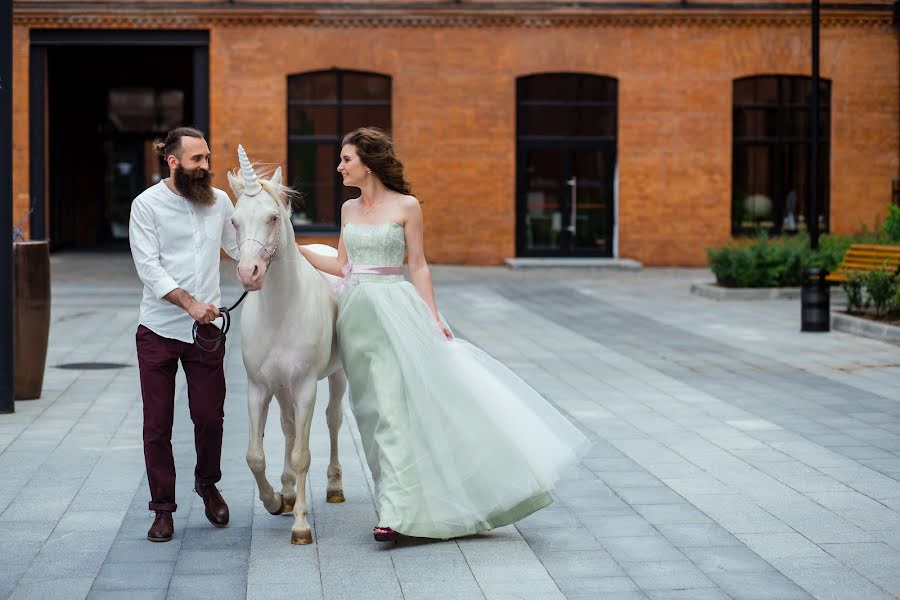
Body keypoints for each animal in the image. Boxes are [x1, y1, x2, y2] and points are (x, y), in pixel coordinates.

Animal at [227, 144, 346, 544]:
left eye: (273, 217)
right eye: (234, 221)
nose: (248, 273)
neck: (281, 309)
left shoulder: (306, 386)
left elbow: (302, 454)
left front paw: (301, 526)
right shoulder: (259, 387)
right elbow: (254, 454)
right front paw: (275, 500)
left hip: (337, 376)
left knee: (333, 420)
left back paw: (333, 487)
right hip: (281, 389)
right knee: (288, 427)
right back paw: (290, 490)